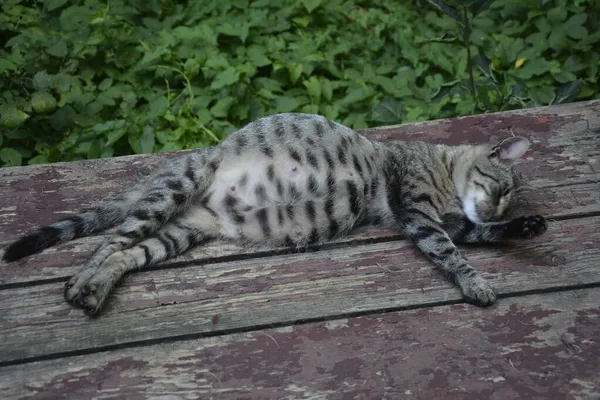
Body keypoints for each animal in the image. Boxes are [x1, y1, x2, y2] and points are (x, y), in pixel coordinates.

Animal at [0, 112, 548, 316]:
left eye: (510, 198)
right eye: (501, 186)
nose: (500, 204)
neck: (444, 170)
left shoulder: (450, 221)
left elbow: (480, 234)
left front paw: (526, 226)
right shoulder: (416, 211)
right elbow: (453, 253)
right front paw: (476, 282)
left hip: (179, 233)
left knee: (126, 254)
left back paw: (96, 290)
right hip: (174, 191)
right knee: (109, 241)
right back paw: (81, 284)